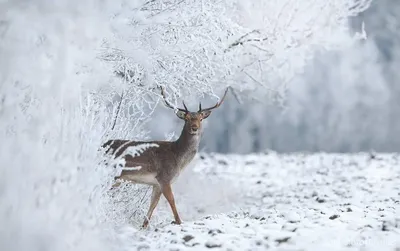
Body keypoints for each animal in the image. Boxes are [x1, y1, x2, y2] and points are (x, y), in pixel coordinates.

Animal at [101, 87, 230, 228]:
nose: (194, 128)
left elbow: (153, 204)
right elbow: (172, 200)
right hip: (112, 175)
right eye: (187, 118)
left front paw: (143, 226)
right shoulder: (164, 178)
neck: (178, 158)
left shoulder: (156, 184)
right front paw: (179, 221)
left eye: (201, 118)